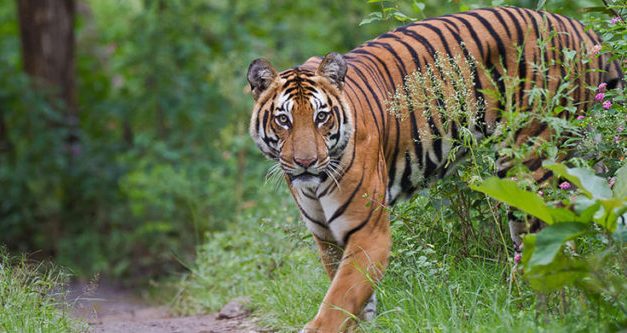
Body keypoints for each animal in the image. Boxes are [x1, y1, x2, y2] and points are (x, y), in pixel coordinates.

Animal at [245, 5, 624, 332]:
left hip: (531, 161)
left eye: (321, 117)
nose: (305, 162)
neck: (314, 183)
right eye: (284, 120)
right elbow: (355, 300)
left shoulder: (368, 232)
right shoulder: (326, 237)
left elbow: (338, 300)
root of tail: (582, 29)